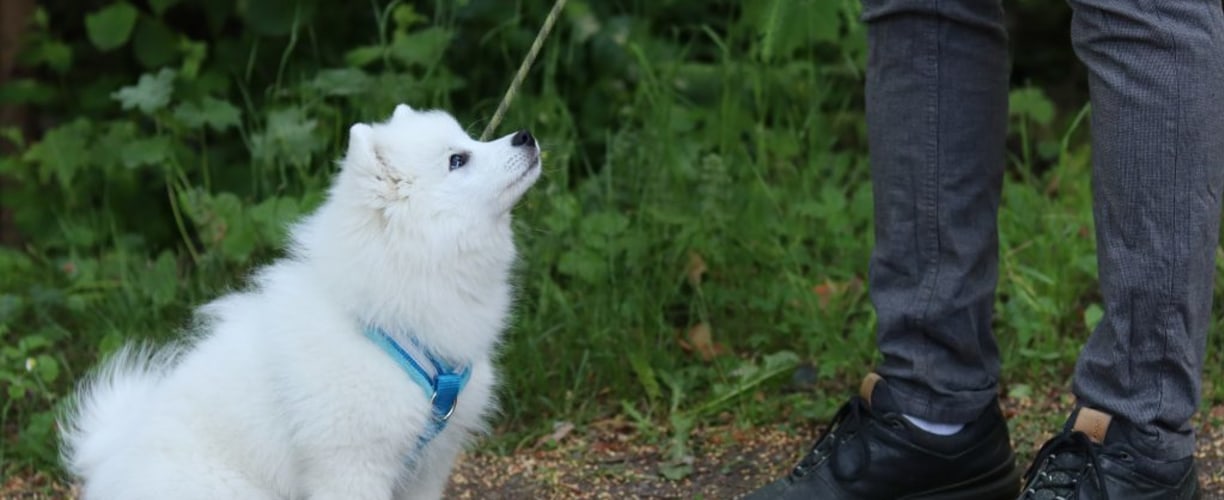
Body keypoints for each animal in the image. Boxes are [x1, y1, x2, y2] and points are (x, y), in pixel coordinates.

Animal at [60, 103, 541, 497]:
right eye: (457, 160)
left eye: (472, 139)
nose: (525, 135)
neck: (383, 320)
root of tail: (112, 461)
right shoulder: (352, 468)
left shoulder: (429, 465)